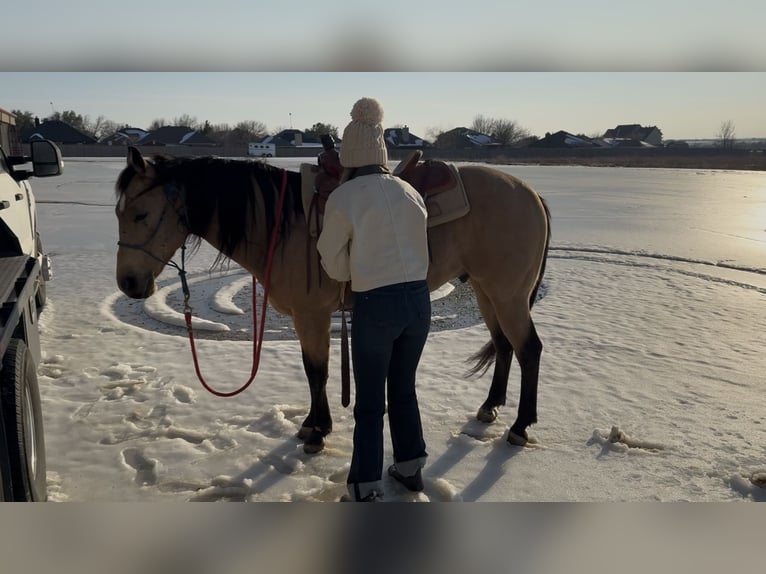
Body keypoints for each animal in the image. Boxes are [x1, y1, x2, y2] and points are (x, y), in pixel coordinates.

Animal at [114, 146, 551, 453]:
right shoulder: (304, 317)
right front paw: (313, 424)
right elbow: (313, 371)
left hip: (508, 294)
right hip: (486, 289)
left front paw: (316, 432)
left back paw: (520, 426)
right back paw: (490, 406)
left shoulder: (313, 315)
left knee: (528, 349)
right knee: (503, 344)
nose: (128, 283)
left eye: (140, 214)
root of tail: (531, 192)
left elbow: (317, 372)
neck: (281, 222)